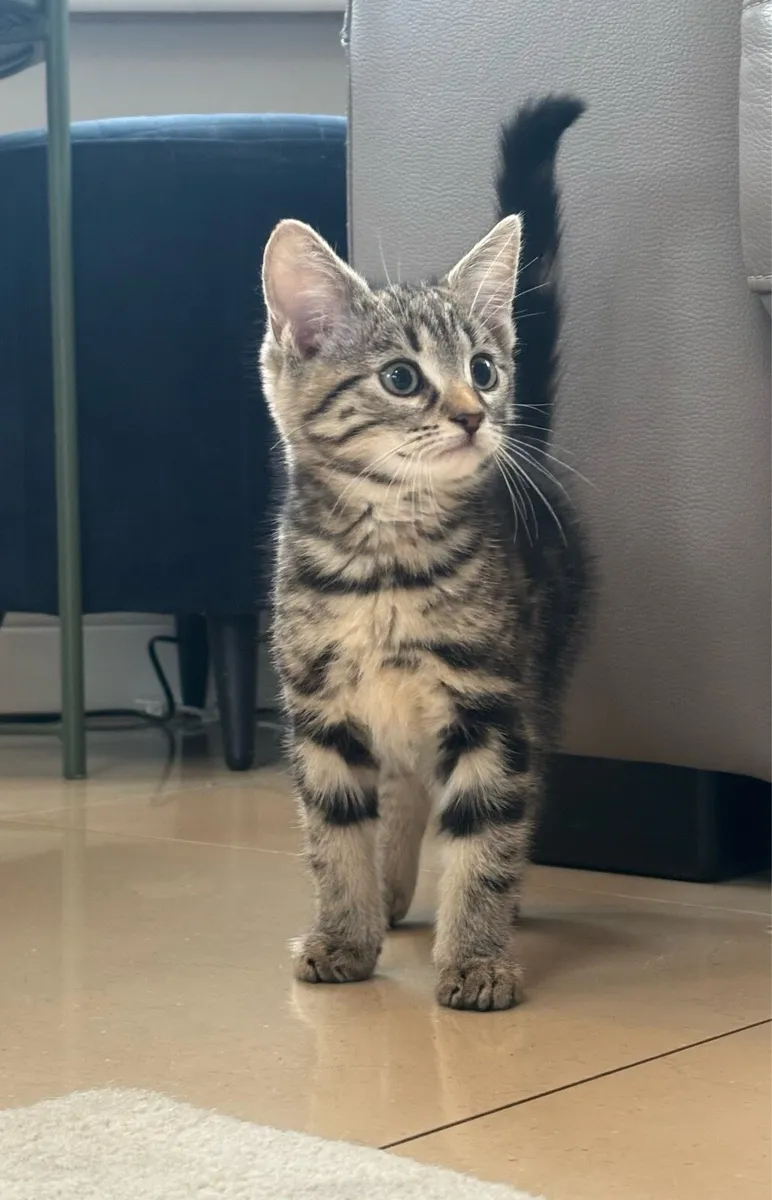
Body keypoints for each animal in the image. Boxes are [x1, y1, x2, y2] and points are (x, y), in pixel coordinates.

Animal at [259, 95, 589, 1011]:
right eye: (402, 378)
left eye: (485, 369)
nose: (476, 416)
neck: (387, 560)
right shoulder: (320, 708)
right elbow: (334, 830)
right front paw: (346, 933)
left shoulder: (493, 706)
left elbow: (487, 831)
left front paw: (475, 956)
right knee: (402, 789)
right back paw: (391, 891)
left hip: (543, 676)